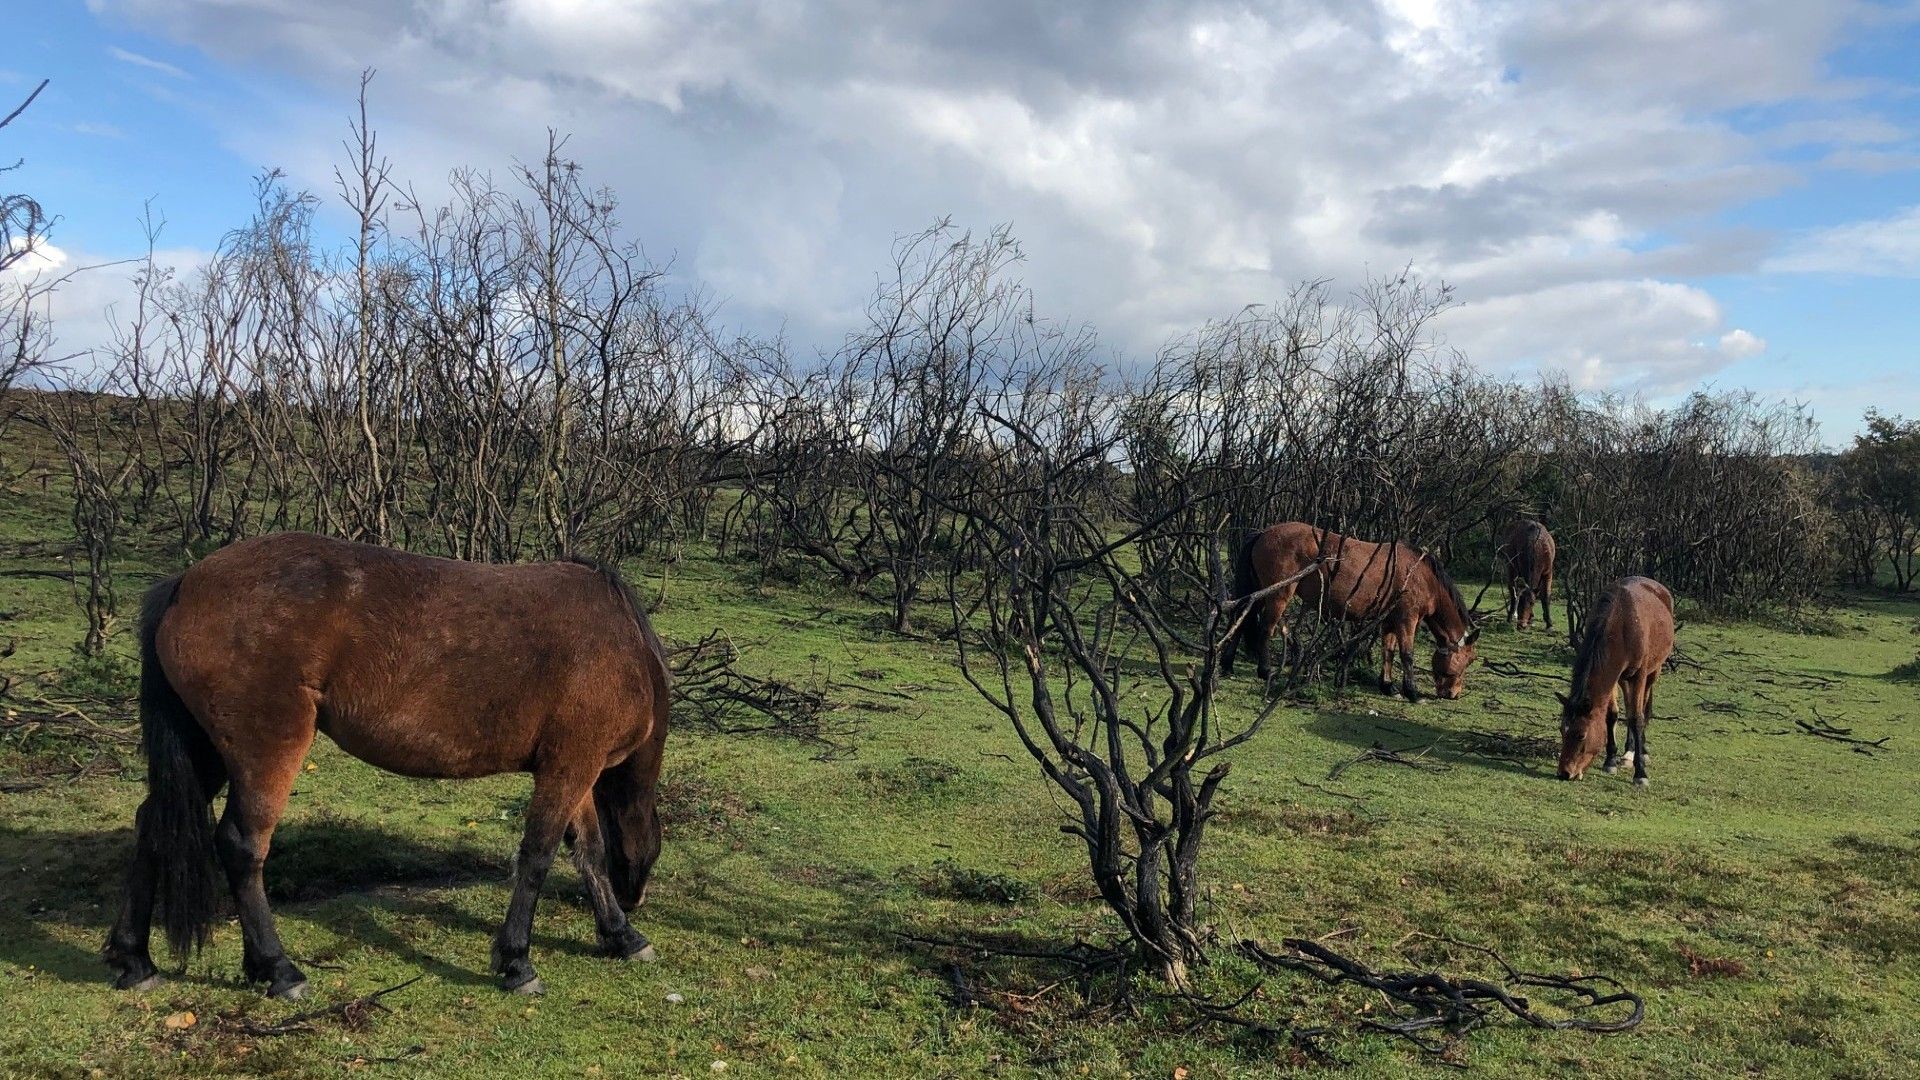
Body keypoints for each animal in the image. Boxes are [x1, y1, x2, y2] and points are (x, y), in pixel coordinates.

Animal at [102, 532, 672, 999]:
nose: (636, 900)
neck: (621, 644)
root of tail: (184, 584)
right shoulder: (570, 766)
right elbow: (537, 856)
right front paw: (516, 961)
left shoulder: (576, 770)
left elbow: (589, 853)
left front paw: (621, 936)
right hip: (264, 751)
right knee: (242, 847)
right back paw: (279, 969)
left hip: (208, 753)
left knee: (154, 825)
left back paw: (136, 960)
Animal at [1223, 522, 1481, 700]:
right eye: (1469, 660)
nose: (1453, 694)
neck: (1419, 574)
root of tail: (1263, 533)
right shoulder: (1407, 620)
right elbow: (1407, 654)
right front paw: (1413, 693)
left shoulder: (1389, 621)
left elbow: (1388, 651)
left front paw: (1388, 687)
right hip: (1278, 595)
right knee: (1266, 629)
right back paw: (1265, 671)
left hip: (1258, 594)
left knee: (1240, 622)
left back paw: (1228, 666)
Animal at [1556, 576, 1673, 786]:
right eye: (1562, 730)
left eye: (1581, 735)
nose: (1564, 773)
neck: (1621, 621)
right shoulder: (1613, 675)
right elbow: (1611, 715)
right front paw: (1610, 760)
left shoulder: (1639, 675)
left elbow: (1636, 718)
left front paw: (1640, 773)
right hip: (1625, 680)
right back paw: (1628, 753)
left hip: (1653, 672)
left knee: (1642, 707)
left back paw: (1639, 752)